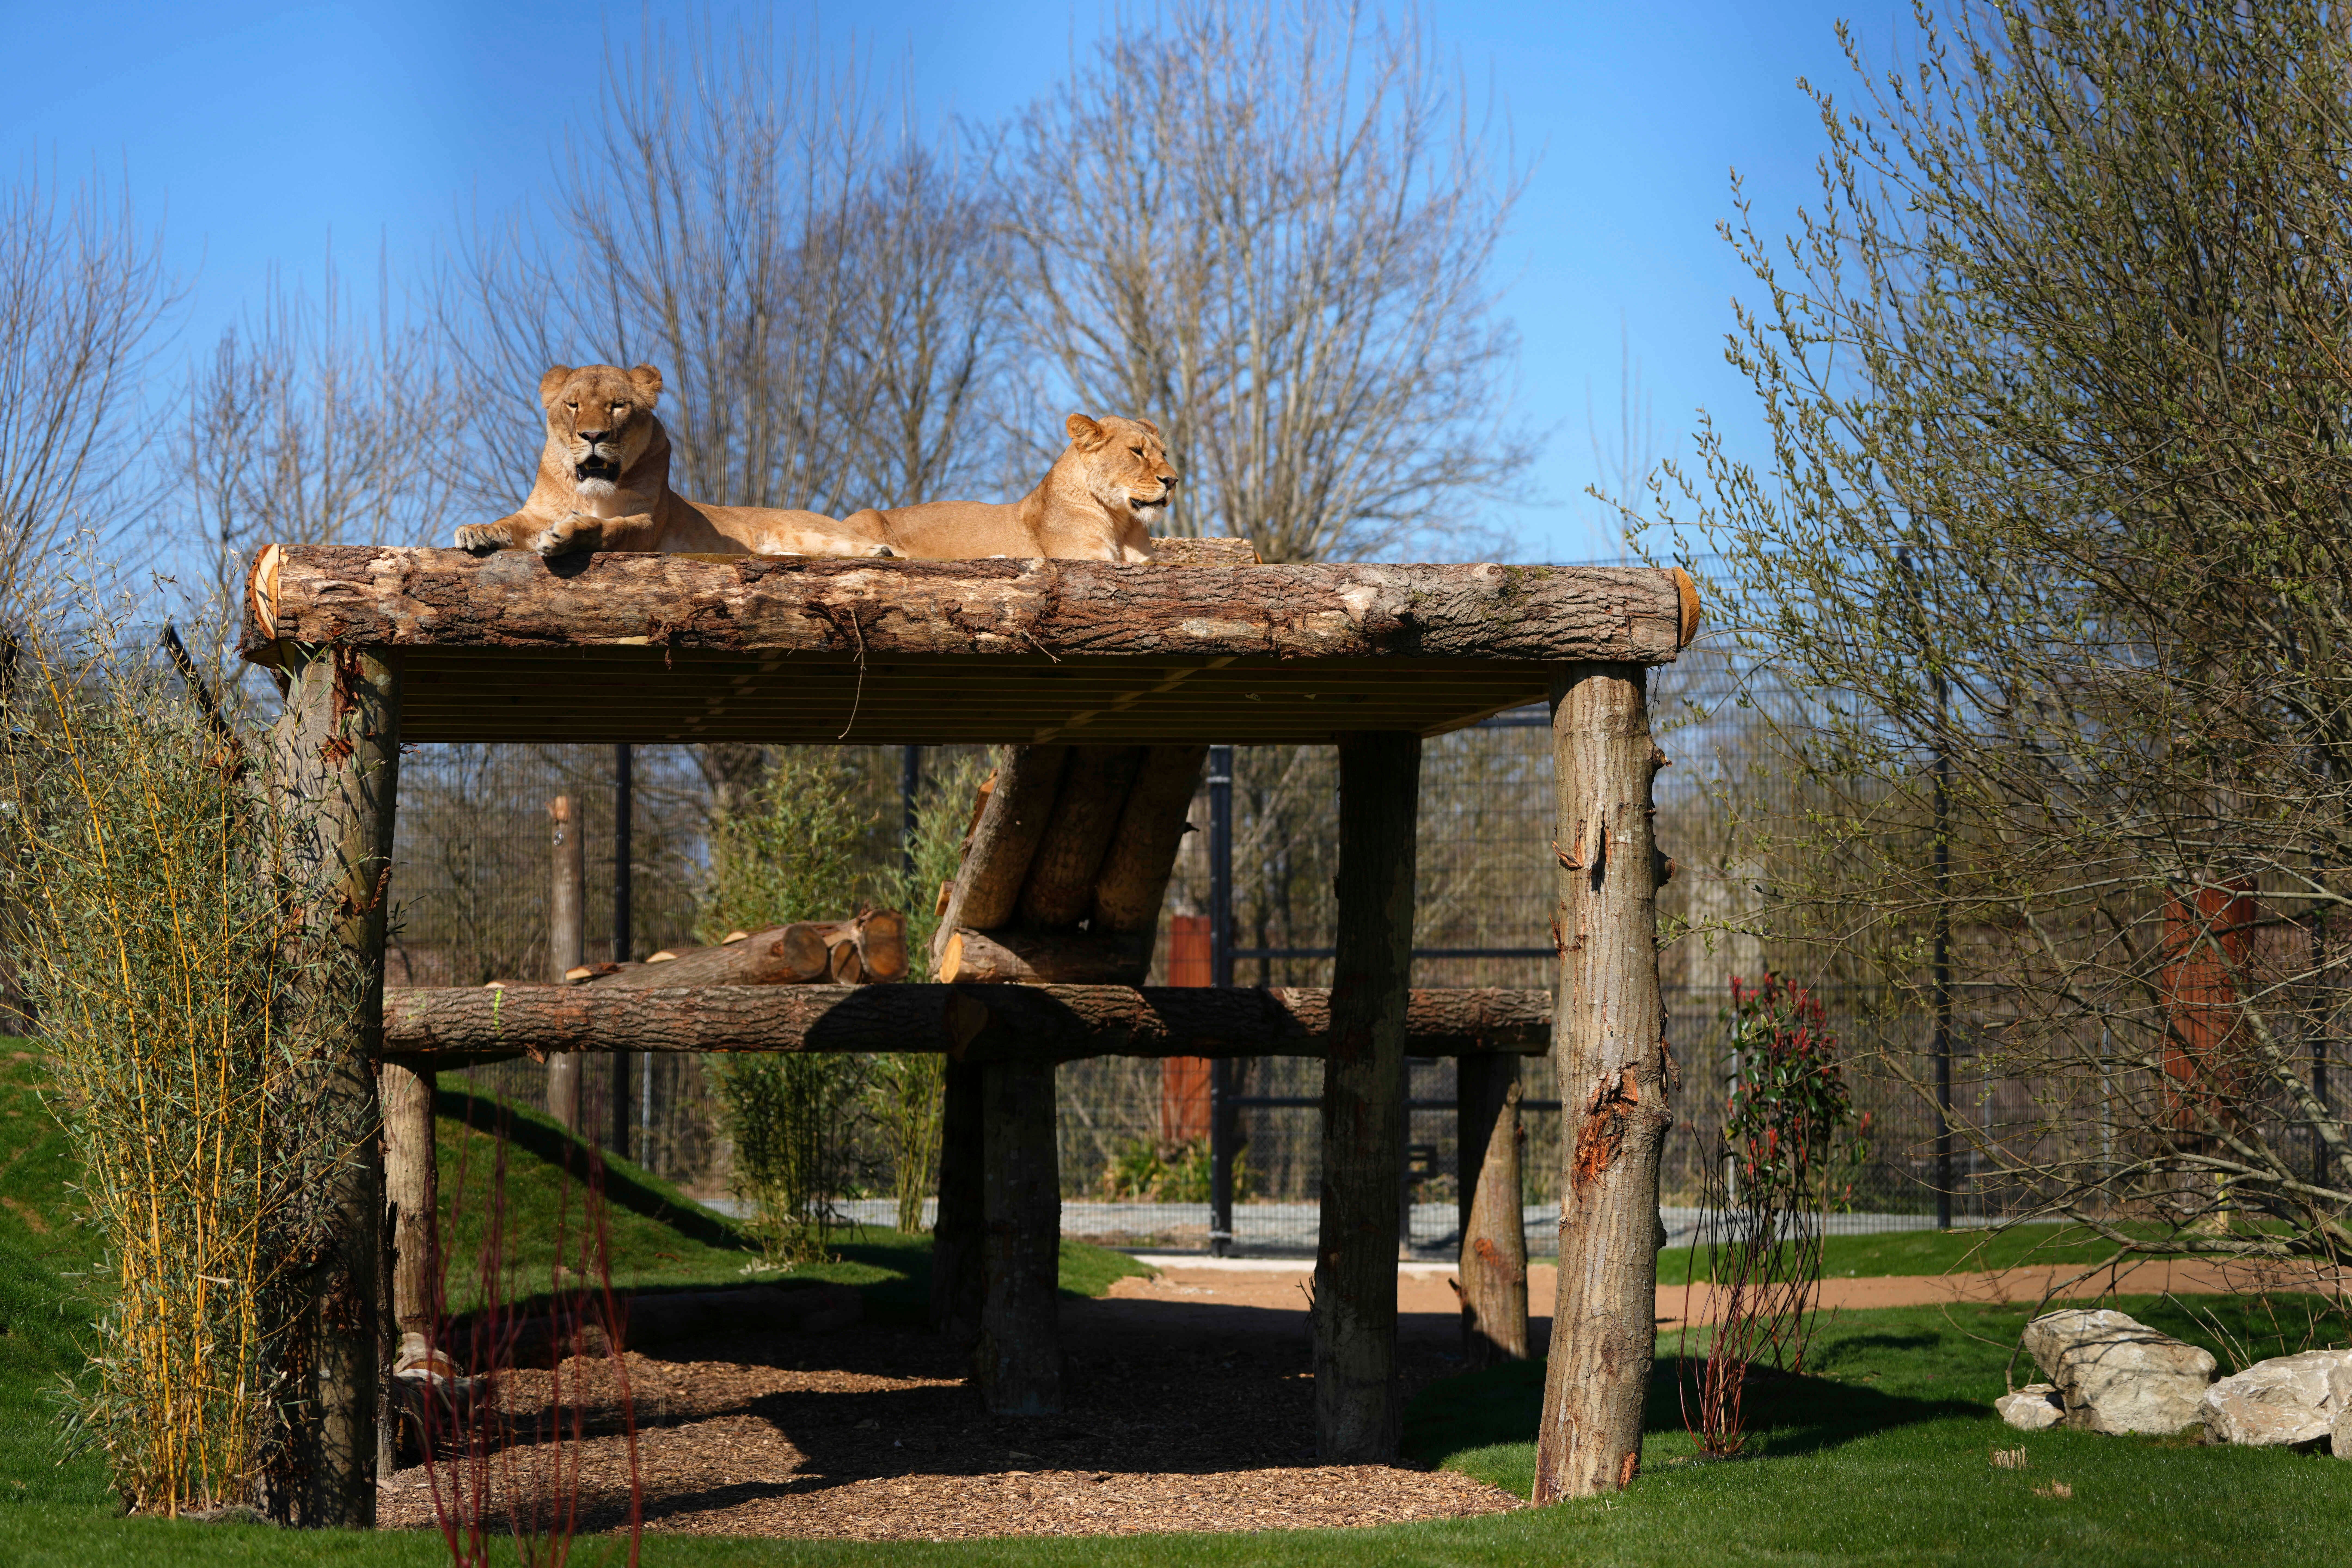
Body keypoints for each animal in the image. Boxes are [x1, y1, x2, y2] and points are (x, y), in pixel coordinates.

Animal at [452, 363, 892, 560]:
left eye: (617, 406)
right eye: (573, 406)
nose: (593, 436)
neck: (592, 490)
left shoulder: (648, 523)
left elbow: (611, 530)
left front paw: (569, 535)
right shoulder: (537, 513)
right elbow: (511, 522)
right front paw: (478, 531)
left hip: (814, 534)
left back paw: (879, 553)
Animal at [837, 413, 1176, 562]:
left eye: (1164, 453)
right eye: (1137, 452)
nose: (1173, 481)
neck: (1120, 523)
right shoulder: (1085, 558)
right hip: (867, 516)